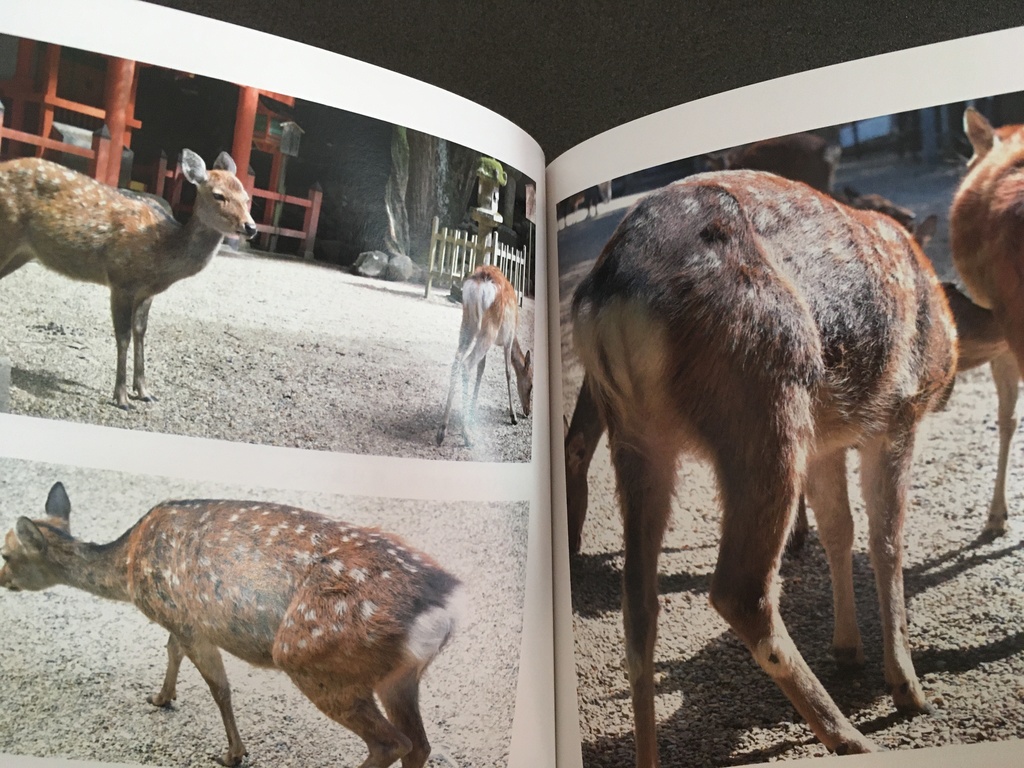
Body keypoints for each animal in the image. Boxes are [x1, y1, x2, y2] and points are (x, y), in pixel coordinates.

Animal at [0, 149, 257, 409]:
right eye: (218, 195)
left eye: (246, 197)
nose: (251, 227)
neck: (161, 253)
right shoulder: (121, 279)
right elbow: (122, 336)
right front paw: (122, 397)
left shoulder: (147, 293)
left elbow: (140, 331)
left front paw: (144, 391)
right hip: (8, 234)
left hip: (21, 252)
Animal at [0, 481, 464, 768]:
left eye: (6, 553)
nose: (2, 579)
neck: (128, 570)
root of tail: (443, 607)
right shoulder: (180, 618)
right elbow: (171, 651)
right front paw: (161, 698)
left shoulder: (189, 622)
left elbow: (219, 688)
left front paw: (232, 754)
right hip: (399, 677)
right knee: (419, 745)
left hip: (318, 664)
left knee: (392, 742)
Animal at [436, 264, 533, 446]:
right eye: (531, 385)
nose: (527, 412)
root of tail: (480, 281)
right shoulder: (508, 338)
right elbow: (508, 373)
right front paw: (513, 417)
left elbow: (481, 369)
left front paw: (473, 410)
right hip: (490, 329)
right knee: (467, 364)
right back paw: (467, 436)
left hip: (468, 324)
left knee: (457, 359)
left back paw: (442, 431)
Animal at [569, 169, 957, 764]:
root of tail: (613, 300)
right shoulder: (899, 413)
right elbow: (886, 542)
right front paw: (908, 689)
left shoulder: (829, 439)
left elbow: (840, 529)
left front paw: (849, 649)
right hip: (766, 396)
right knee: (739, 588)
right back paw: (850, 738)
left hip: (640, 433)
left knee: (638, 605)